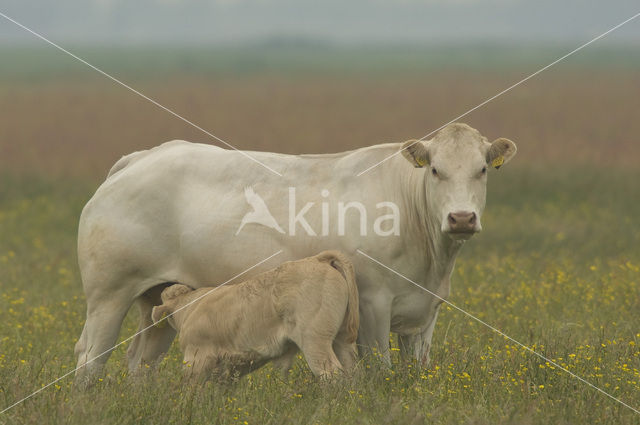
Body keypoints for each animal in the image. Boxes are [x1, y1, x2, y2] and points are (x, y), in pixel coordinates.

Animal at [74, 121, 516, 378]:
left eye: (481, 170)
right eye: (436, 170)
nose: (461, 218)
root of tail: (144, 156)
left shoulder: (426, 312)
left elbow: (415, 372)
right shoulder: (374, 304)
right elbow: (379, 370)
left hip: (157, 299)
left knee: (140, 361)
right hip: (108, 295)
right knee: (90, 359)